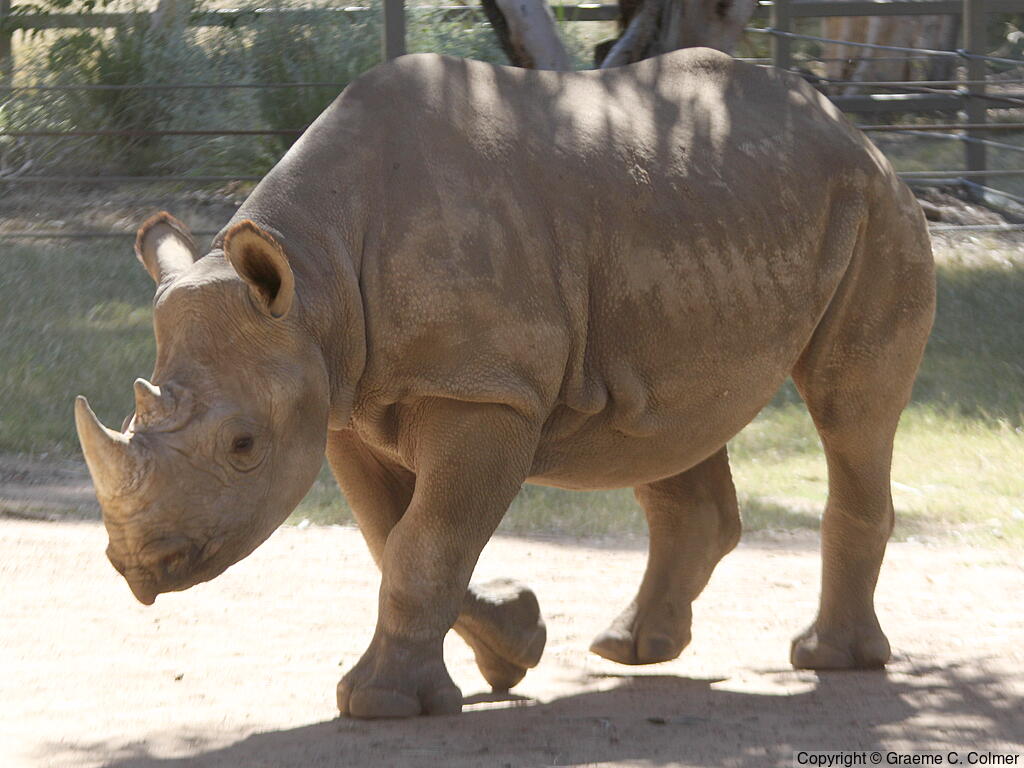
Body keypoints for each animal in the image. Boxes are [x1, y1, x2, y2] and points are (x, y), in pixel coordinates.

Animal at [75, 49, 935, 719]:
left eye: (243, 445)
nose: (139, 566)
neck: (314, 276)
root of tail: (853, 129)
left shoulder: (485, 392)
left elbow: (425, 542)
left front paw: (379, 705)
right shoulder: (341, 400)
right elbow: (395, 541)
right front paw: (514, 648)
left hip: (874, 208)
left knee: (848, 409)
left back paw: (829, 660)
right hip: (706, 226)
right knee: (669, 418)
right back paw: (631, 649)